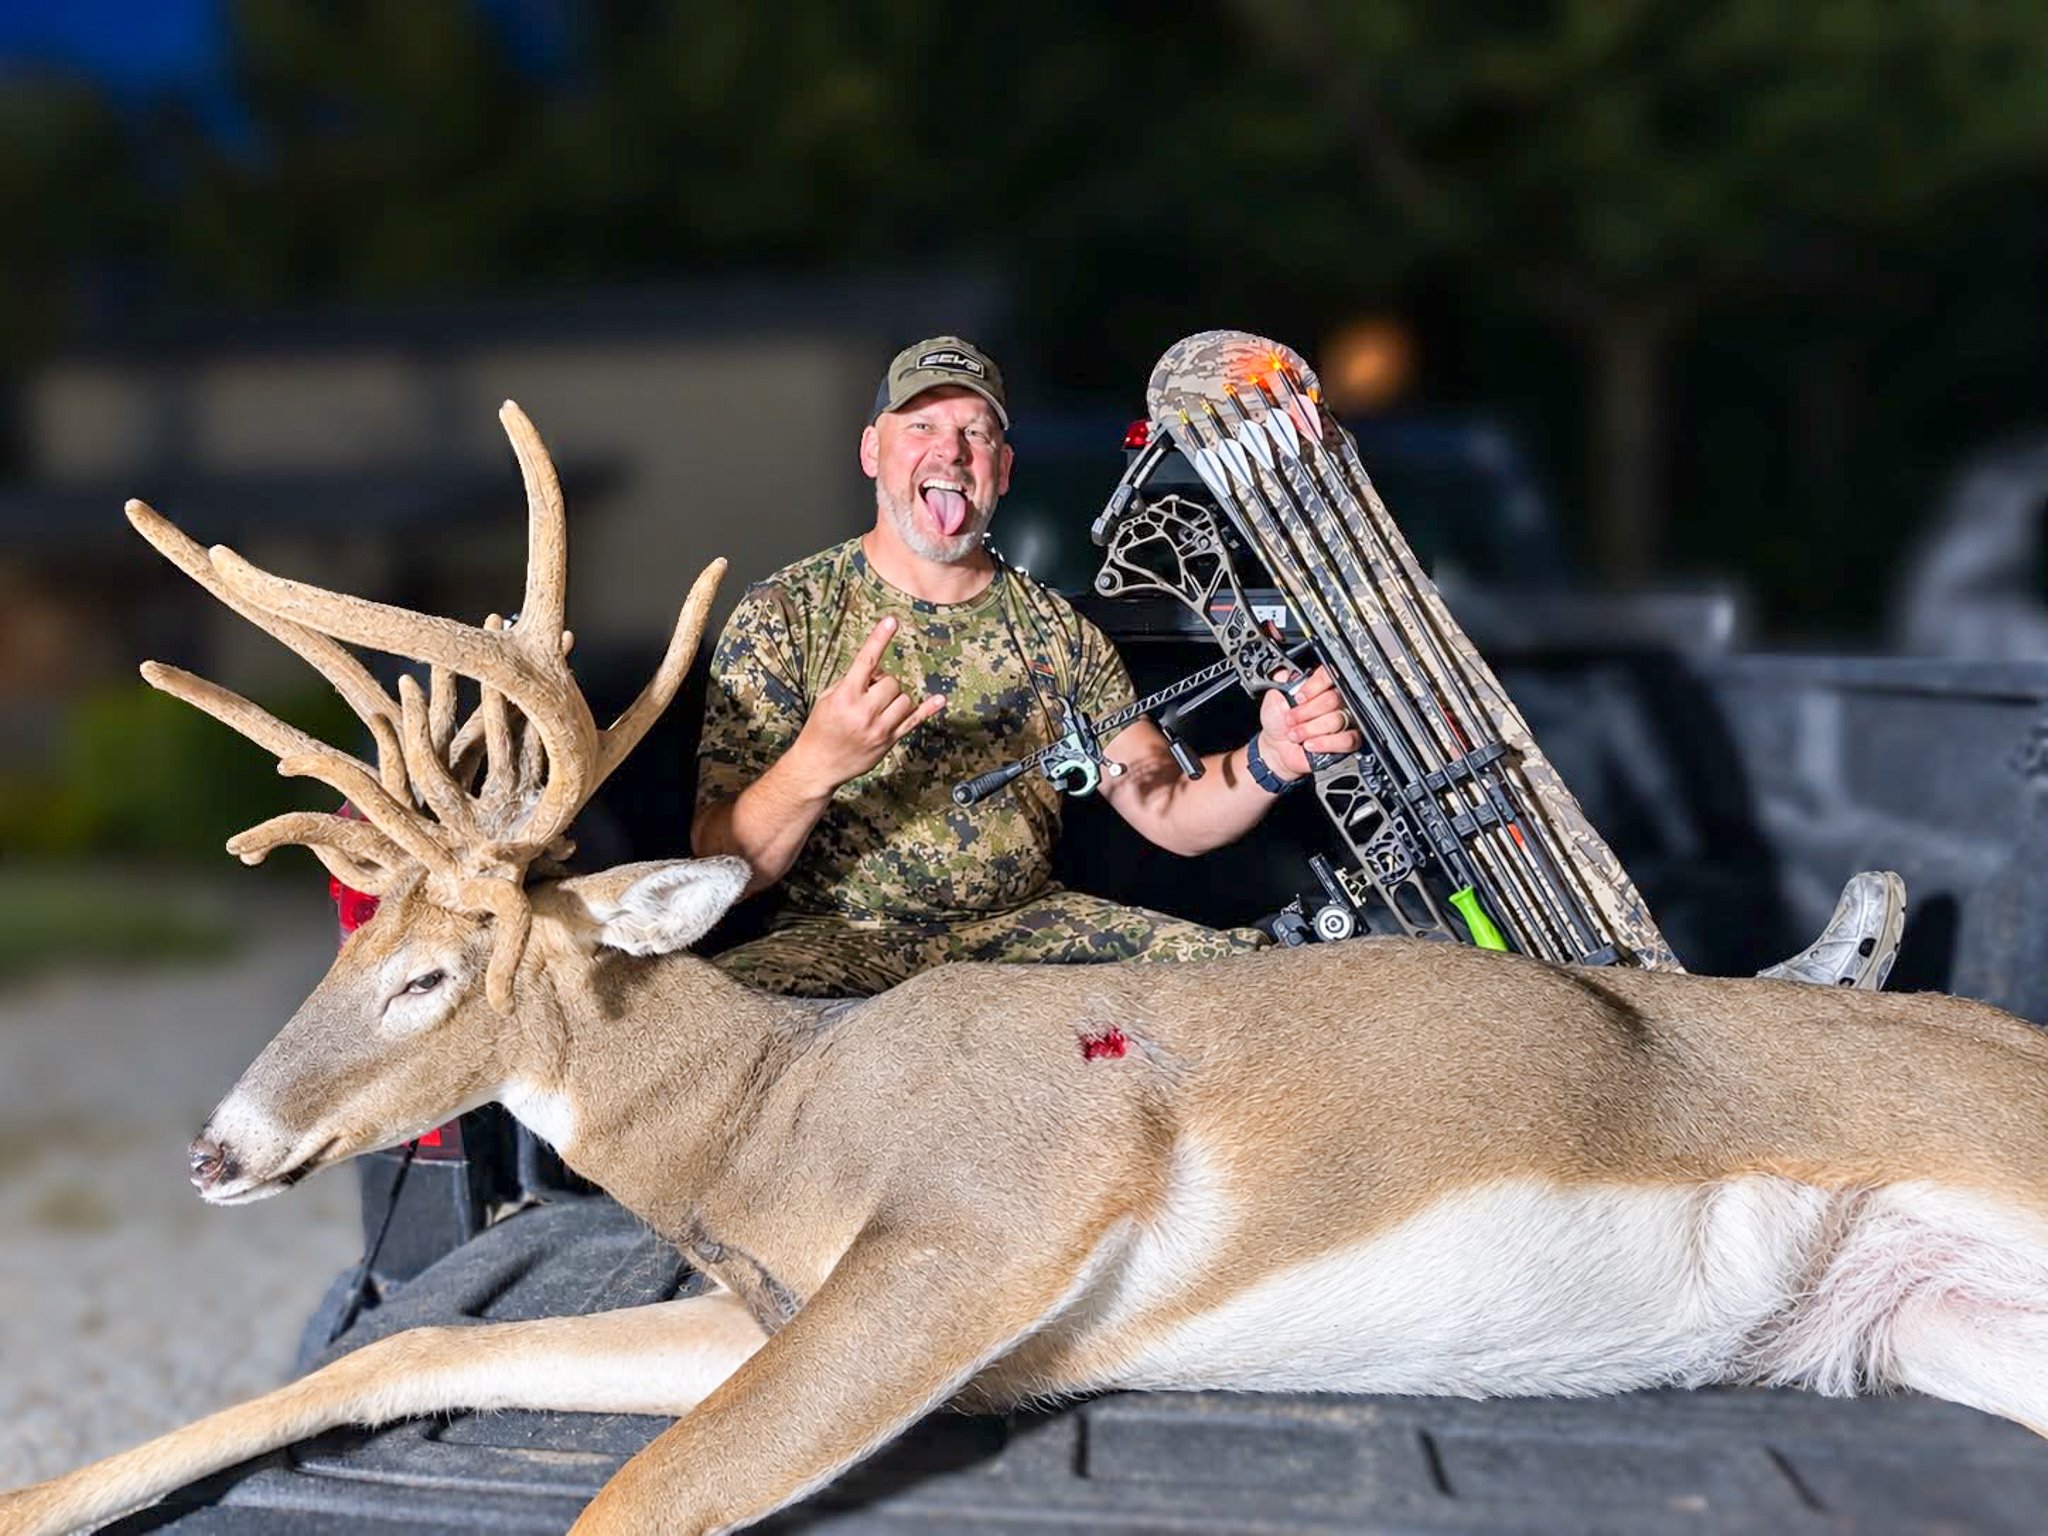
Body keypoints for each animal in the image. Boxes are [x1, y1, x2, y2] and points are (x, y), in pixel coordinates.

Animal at [7, 401, 2048, 1536]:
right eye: (372, 944)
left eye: (433, 979)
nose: (216, 1149)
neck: (776, 1111)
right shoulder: (772, 1311)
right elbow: (407, 1346)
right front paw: (39, 1501)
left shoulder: (990, 1219)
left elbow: (631, 1502)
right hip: (1941, 1326)